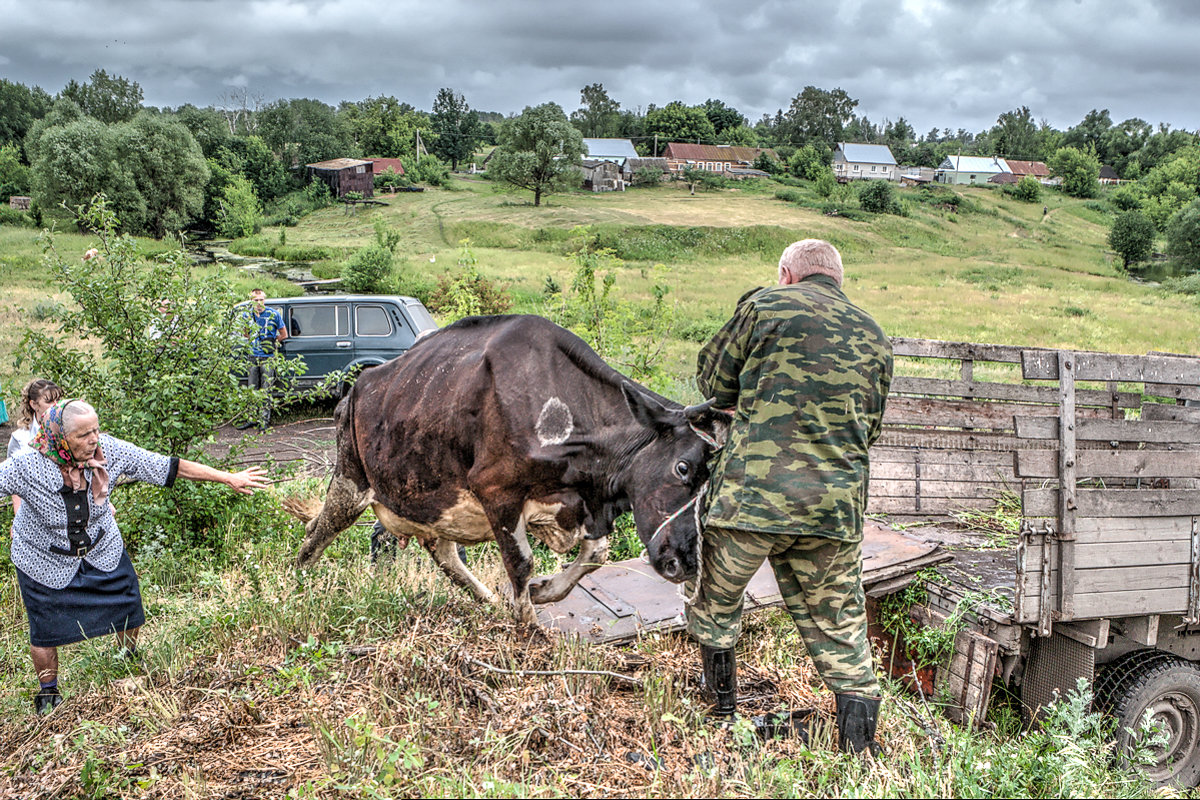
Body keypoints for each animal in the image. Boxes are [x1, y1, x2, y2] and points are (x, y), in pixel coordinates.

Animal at [285, 314, 724, 623]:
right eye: (682, 467)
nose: (686, 562)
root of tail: (356, 388)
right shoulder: (496, 490)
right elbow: (521, 562)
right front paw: (529, 626)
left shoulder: (576, 504)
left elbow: (596, 553)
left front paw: (542, 592)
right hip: (351, 479)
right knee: (318, 533)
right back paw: (297, 585)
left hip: (436, 504)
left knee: (444, 553)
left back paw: (489, 600)